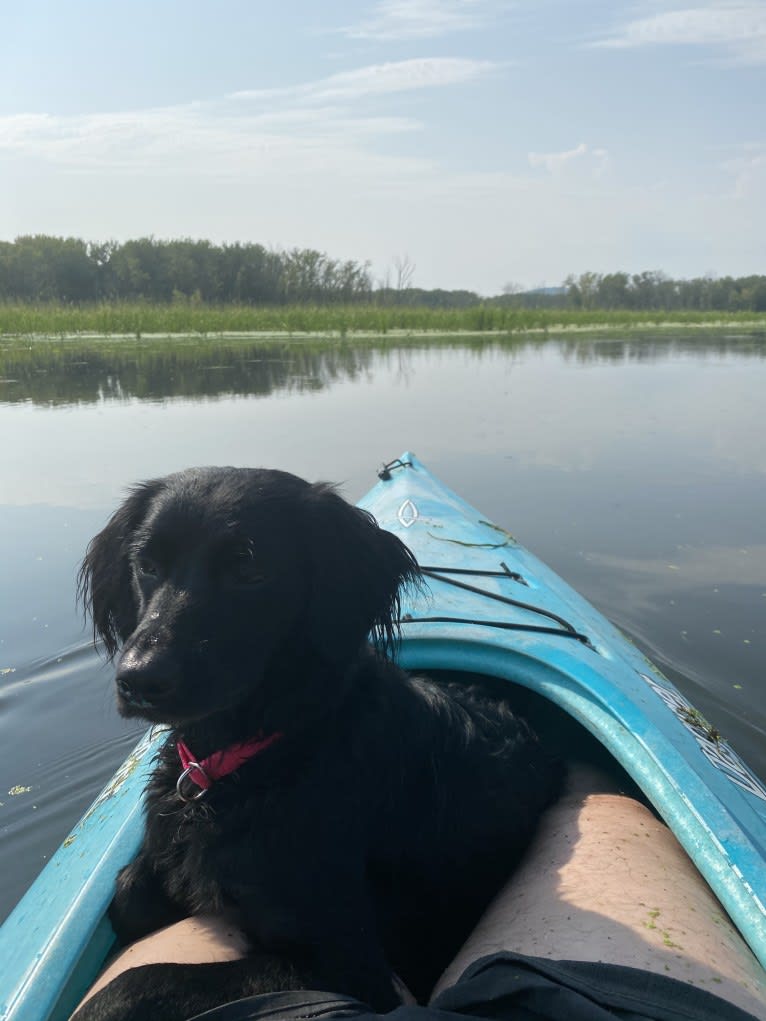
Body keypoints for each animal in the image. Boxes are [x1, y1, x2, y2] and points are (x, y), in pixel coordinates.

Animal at [75, 467, 563, 1016]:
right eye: (147, 564)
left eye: (249, 568)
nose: (139, 679)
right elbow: (128, 895)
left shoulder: (349, 969)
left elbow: (134, 983)